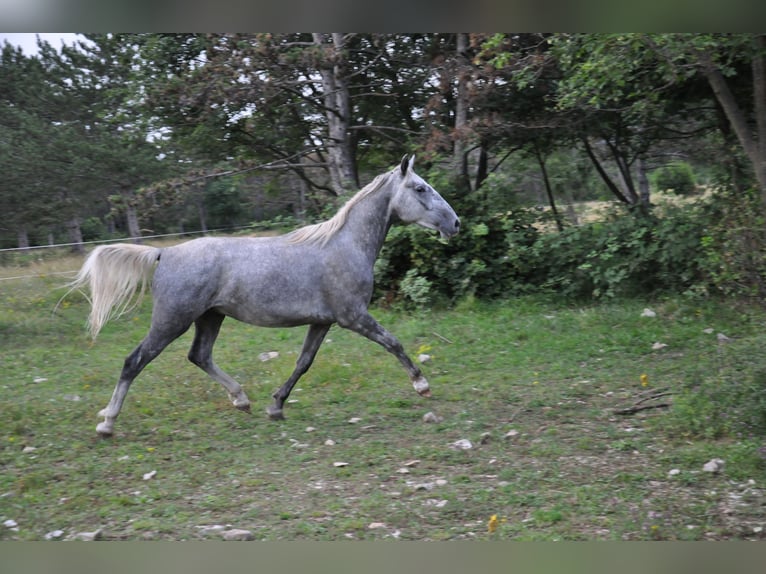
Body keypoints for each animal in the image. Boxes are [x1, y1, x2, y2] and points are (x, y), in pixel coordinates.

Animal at [69, 158, 460, 436]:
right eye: (420, 188)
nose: (454, 224)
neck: (343, 247)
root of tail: (164, 253)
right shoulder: (353, 316)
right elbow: (393, 342)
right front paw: (422, 385)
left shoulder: (323, 322)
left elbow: (303, 363)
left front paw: (276, 406)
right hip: (172, 319)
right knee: (135, 360)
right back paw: (107, 423)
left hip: (210, 317)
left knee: (199, 356)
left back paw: (241, 400)